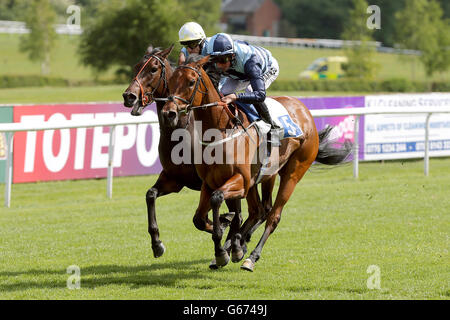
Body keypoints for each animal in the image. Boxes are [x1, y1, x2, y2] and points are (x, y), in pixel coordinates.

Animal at [121, 46, 272, 264]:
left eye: (153, 69)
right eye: (135, 66)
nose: (129, 96)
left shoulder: (211, 181)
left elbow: (210, 217)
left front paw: (224, 233)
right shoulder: (174, 179)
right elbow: (151, 195)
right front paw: (157, 244)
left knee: (260, 210)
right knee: (256, 211)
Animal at [161, 55, 352, 270]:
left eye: (191, 81)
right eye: (171, 81)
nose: (168, 113)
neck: (221, 130)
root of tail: (305, 111)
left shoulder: (241, 181)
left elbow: (218, 199)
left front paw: (223, 249)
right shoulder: (210, 182)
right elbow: (199, 219)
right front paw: (225, 246)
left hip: (292, 174)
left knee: (273, 216)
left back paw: (250, 256)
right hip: (266, 175)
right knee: (259, 210)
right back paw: (237, 246)